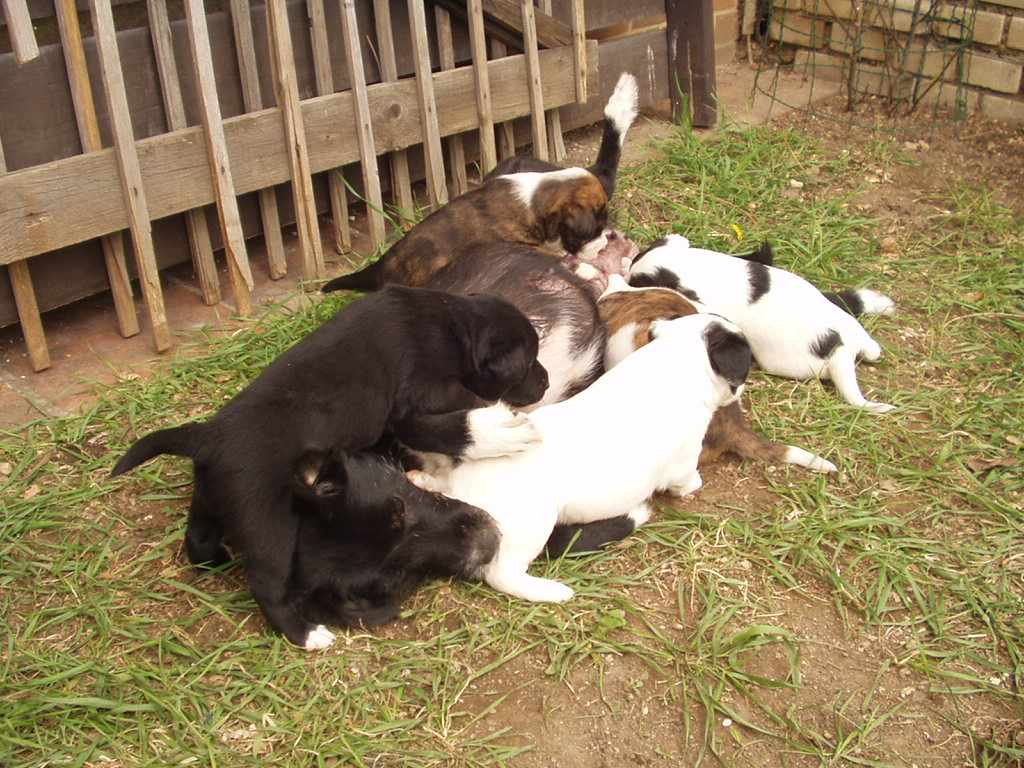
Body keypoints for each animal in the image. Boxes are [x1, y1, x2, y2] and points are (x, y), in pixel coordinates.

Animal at [111, 286, 548, 649]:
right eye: (528, 363)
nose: (545, 381)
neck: (451, 322)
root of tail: (207, 437)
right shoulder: (418, 396)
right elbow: (449, 423)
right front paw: (500, 429)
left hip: (209, 500)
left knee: (197, 541)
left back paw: (216, 555)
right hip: (269, 528)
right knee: (268, 587)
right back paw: (307, 635)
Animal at [408, 313, 752, 603]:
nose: (741, 390)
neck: (676, 356)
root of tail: (464, 495)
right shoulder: (684, 464)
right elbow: (691, 481)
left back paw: (422, 479)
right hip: (531, 525)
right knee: (503, 575)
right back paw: (551, 591)